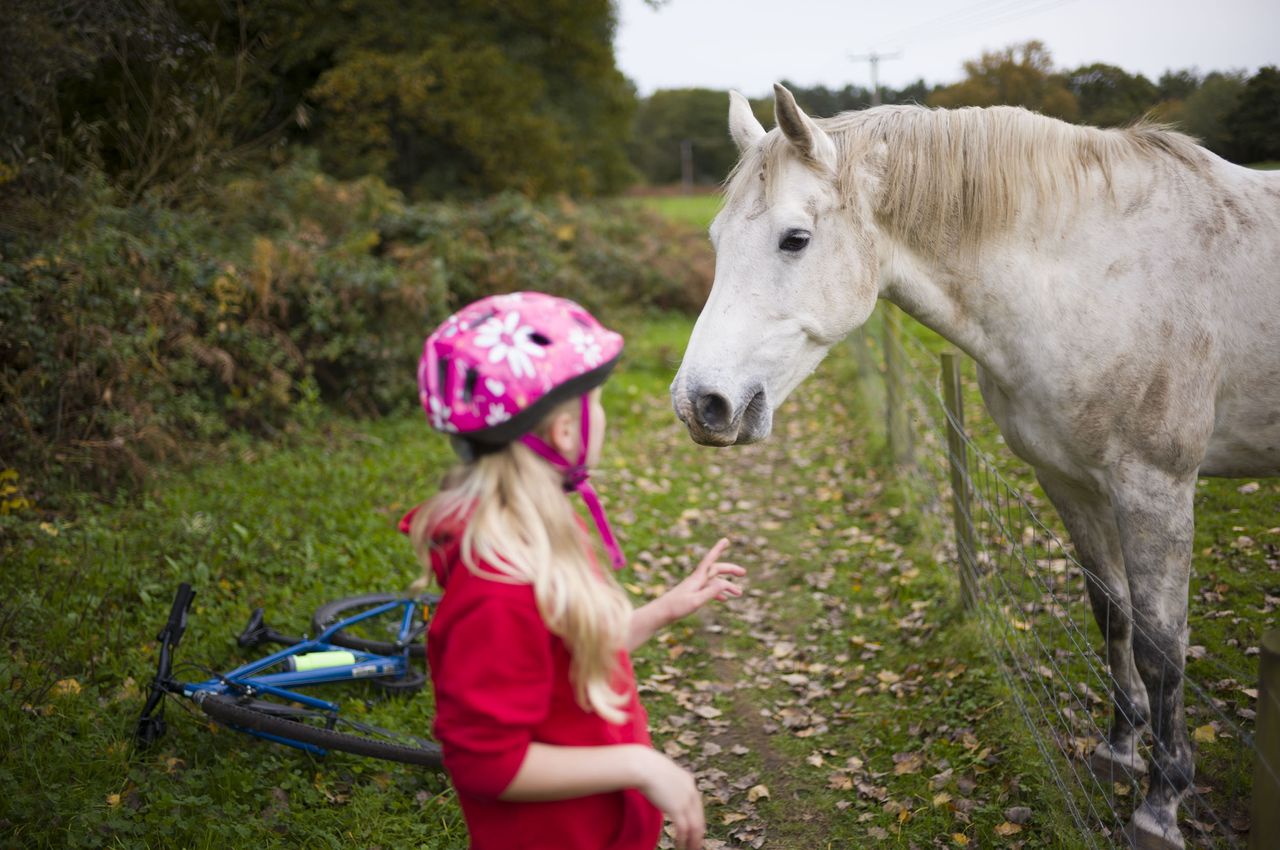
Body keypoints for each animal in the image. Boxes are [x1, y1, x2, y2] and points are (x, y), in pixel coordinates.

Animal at [670, 84, 1280, 849]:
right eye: (718, 240)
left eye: (795, 239)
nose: (700, 404)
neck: (1100, 276)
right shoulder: (1069, 481)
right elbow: (1110, 611)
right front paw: (1118, 749)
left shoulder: (1156, 488)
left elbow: (1162, 648)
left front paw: (1161, 805)